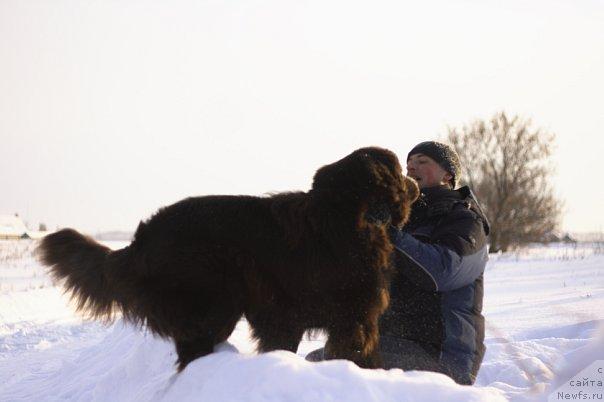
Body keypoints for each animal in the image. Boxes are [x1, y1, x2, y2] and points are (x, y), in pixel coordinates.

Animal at [35, 147, 418, 370]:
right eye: (400, 171)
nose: (414, 181)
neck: (351, 213)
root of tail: (142, 240)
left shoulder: (285, 318)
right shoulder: (355, 316)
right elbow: (360, 353)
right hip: (214, 296)